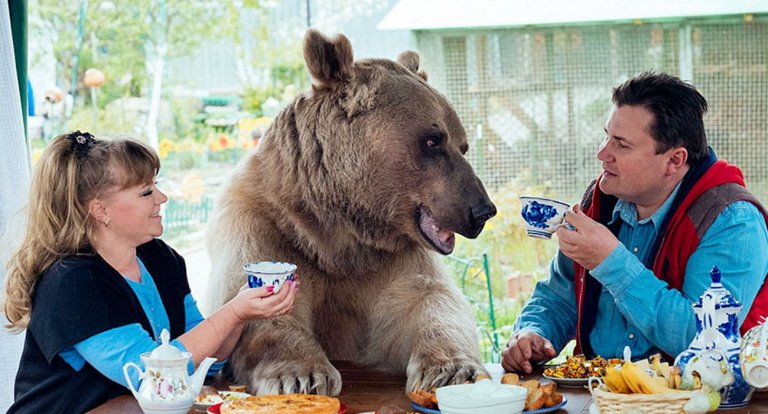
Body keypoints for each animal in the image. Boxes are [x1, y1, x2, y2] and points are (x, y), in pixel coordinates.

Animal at [206, 29, 497, 396]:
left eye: (462, 145)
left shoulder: (391, 259)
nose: (483, 210)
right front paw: (301, 375)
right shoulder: (265, 226)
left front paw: (453, 370)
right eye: (433, 141)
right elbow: (257, 305)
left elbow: (429, 301)